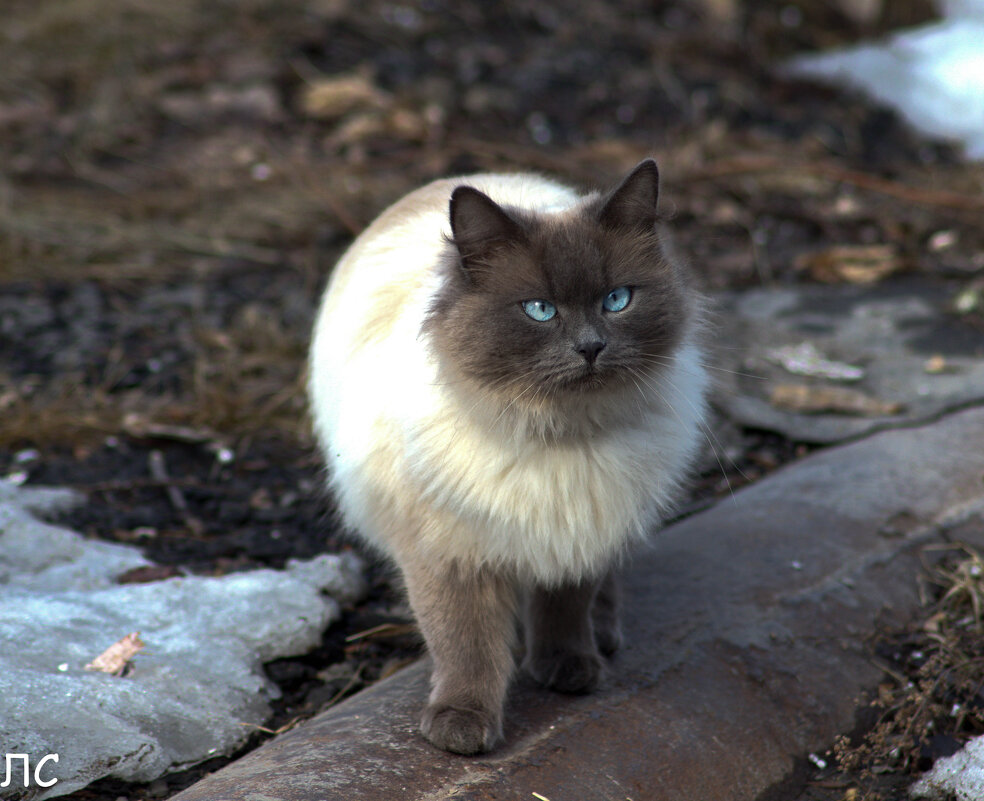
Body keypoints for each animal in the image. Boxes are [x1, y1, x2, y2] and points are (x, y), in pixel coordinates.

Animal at [308, 159, 708, 752]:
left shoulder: (581, 532)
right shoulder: (450, 554)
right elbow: (465, 644)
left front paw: (568, 671)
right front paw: (461, 729)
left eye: (617, 300)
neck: (561, 436)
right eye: (539, 310)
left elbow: (564, 610)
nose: (591, 347)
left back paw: (604, 637)